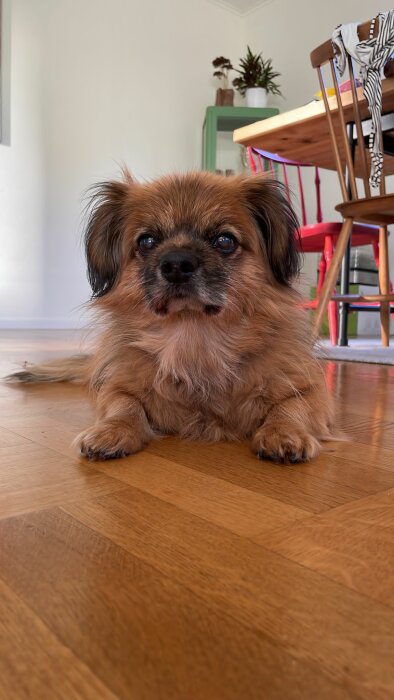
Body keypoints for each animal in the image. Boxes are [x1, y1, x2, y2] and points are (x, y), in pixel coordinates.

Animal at [9, 170, 334, 462]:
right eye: (147, 242)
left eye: (225, 241)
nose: (177, 263)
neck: (193, 339)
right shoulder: (116, 386)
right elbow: (123, 404)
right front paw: (111, 430)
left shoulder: (310, 391)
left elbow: (291, 407)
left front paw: (285, 432)